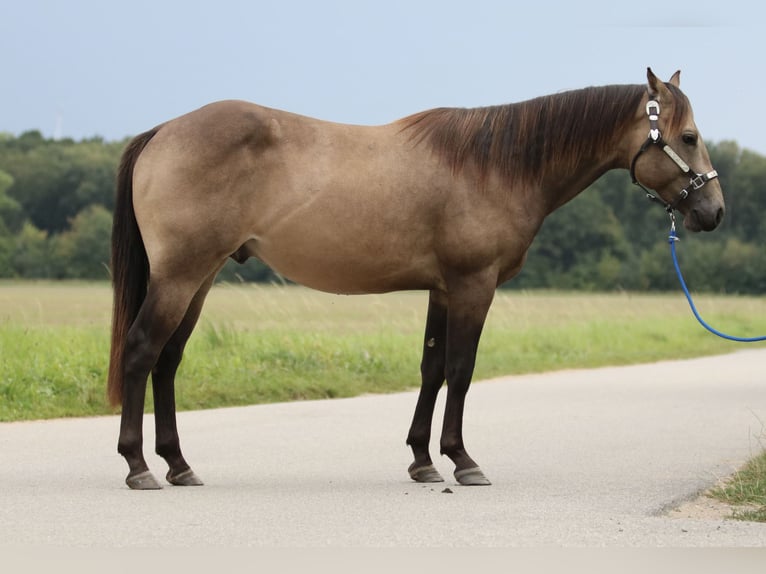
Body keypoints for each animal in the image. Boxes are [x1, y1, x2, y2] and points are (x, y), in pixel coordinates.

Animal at [108, 68, 724, 489]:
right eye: (689, 137)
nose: (713, 212)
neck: (493, 165)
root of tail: (163, 131)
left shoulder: (443, 289)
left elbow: (431, 369)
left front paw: (423, 460)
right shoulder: (474, 285)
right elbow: (461, 369)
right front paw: (463, 460)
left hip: (199, 278)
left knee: (167, 361)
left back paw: (179, 464)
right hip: (181, 275)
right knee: (141, 351)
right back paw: (138, 465)